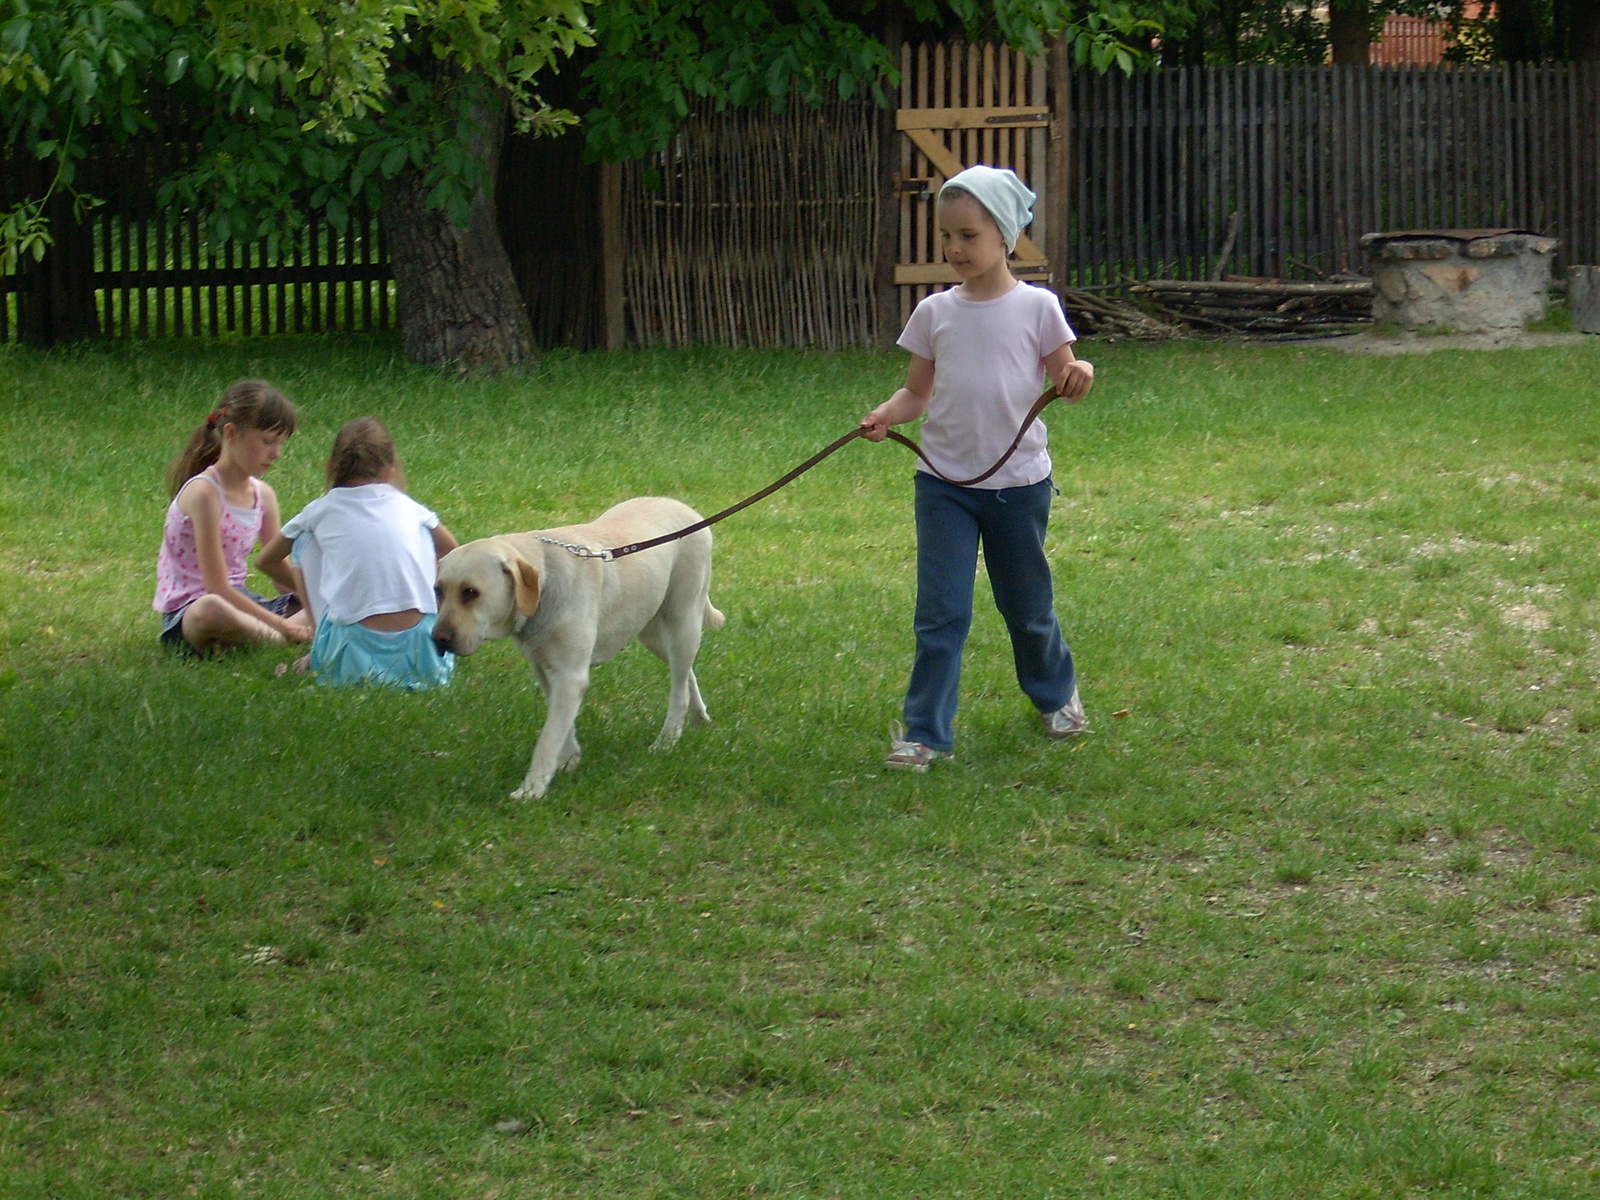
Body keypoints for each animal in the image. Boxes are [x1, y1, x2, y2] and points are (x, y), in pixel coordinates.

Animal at [428, 499, 723, 800]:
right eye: (438, 590)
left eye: (470, 592)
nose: (438, 639)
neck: (543, 588)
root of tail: (686, 508)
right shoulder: (545, 669)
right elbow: (562, 726)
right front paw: (569, 759)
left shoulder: (570, 676)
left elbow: (548, 737)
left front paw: (532, 789)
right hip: (650, 631)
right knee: (685, 673)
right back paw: (697, 717)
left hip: (682, 620)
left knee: (679, 685)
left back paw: (667, 739)